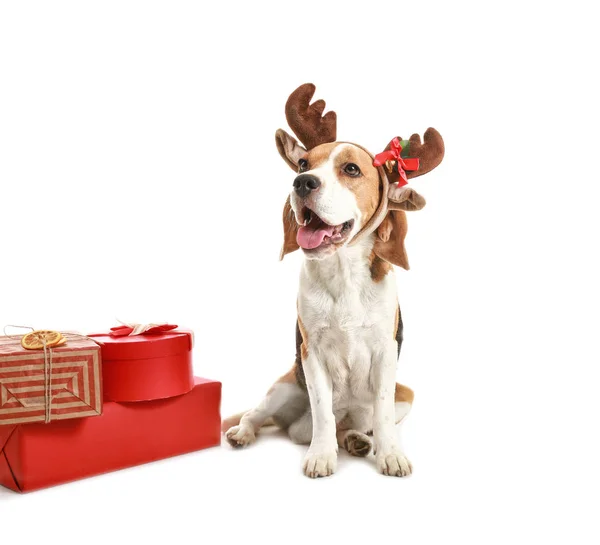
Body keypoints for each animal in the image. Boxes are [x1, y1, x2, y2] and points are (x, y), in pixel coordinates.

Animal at [223, 84, 442, 476]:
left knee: (361, 423)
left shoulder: (386, 354)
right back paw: (244, 433)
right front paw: (321, 455)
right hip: (283, 388)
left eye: (351, 169)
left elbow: (382, 412)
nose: (301, 182)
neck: (343, 274)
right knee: (261, 415)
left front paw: (390, 453)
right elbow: (323, 412)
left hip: (406, 395)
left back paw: (358, 440)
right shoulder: (312, 353)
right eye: (303, 164)